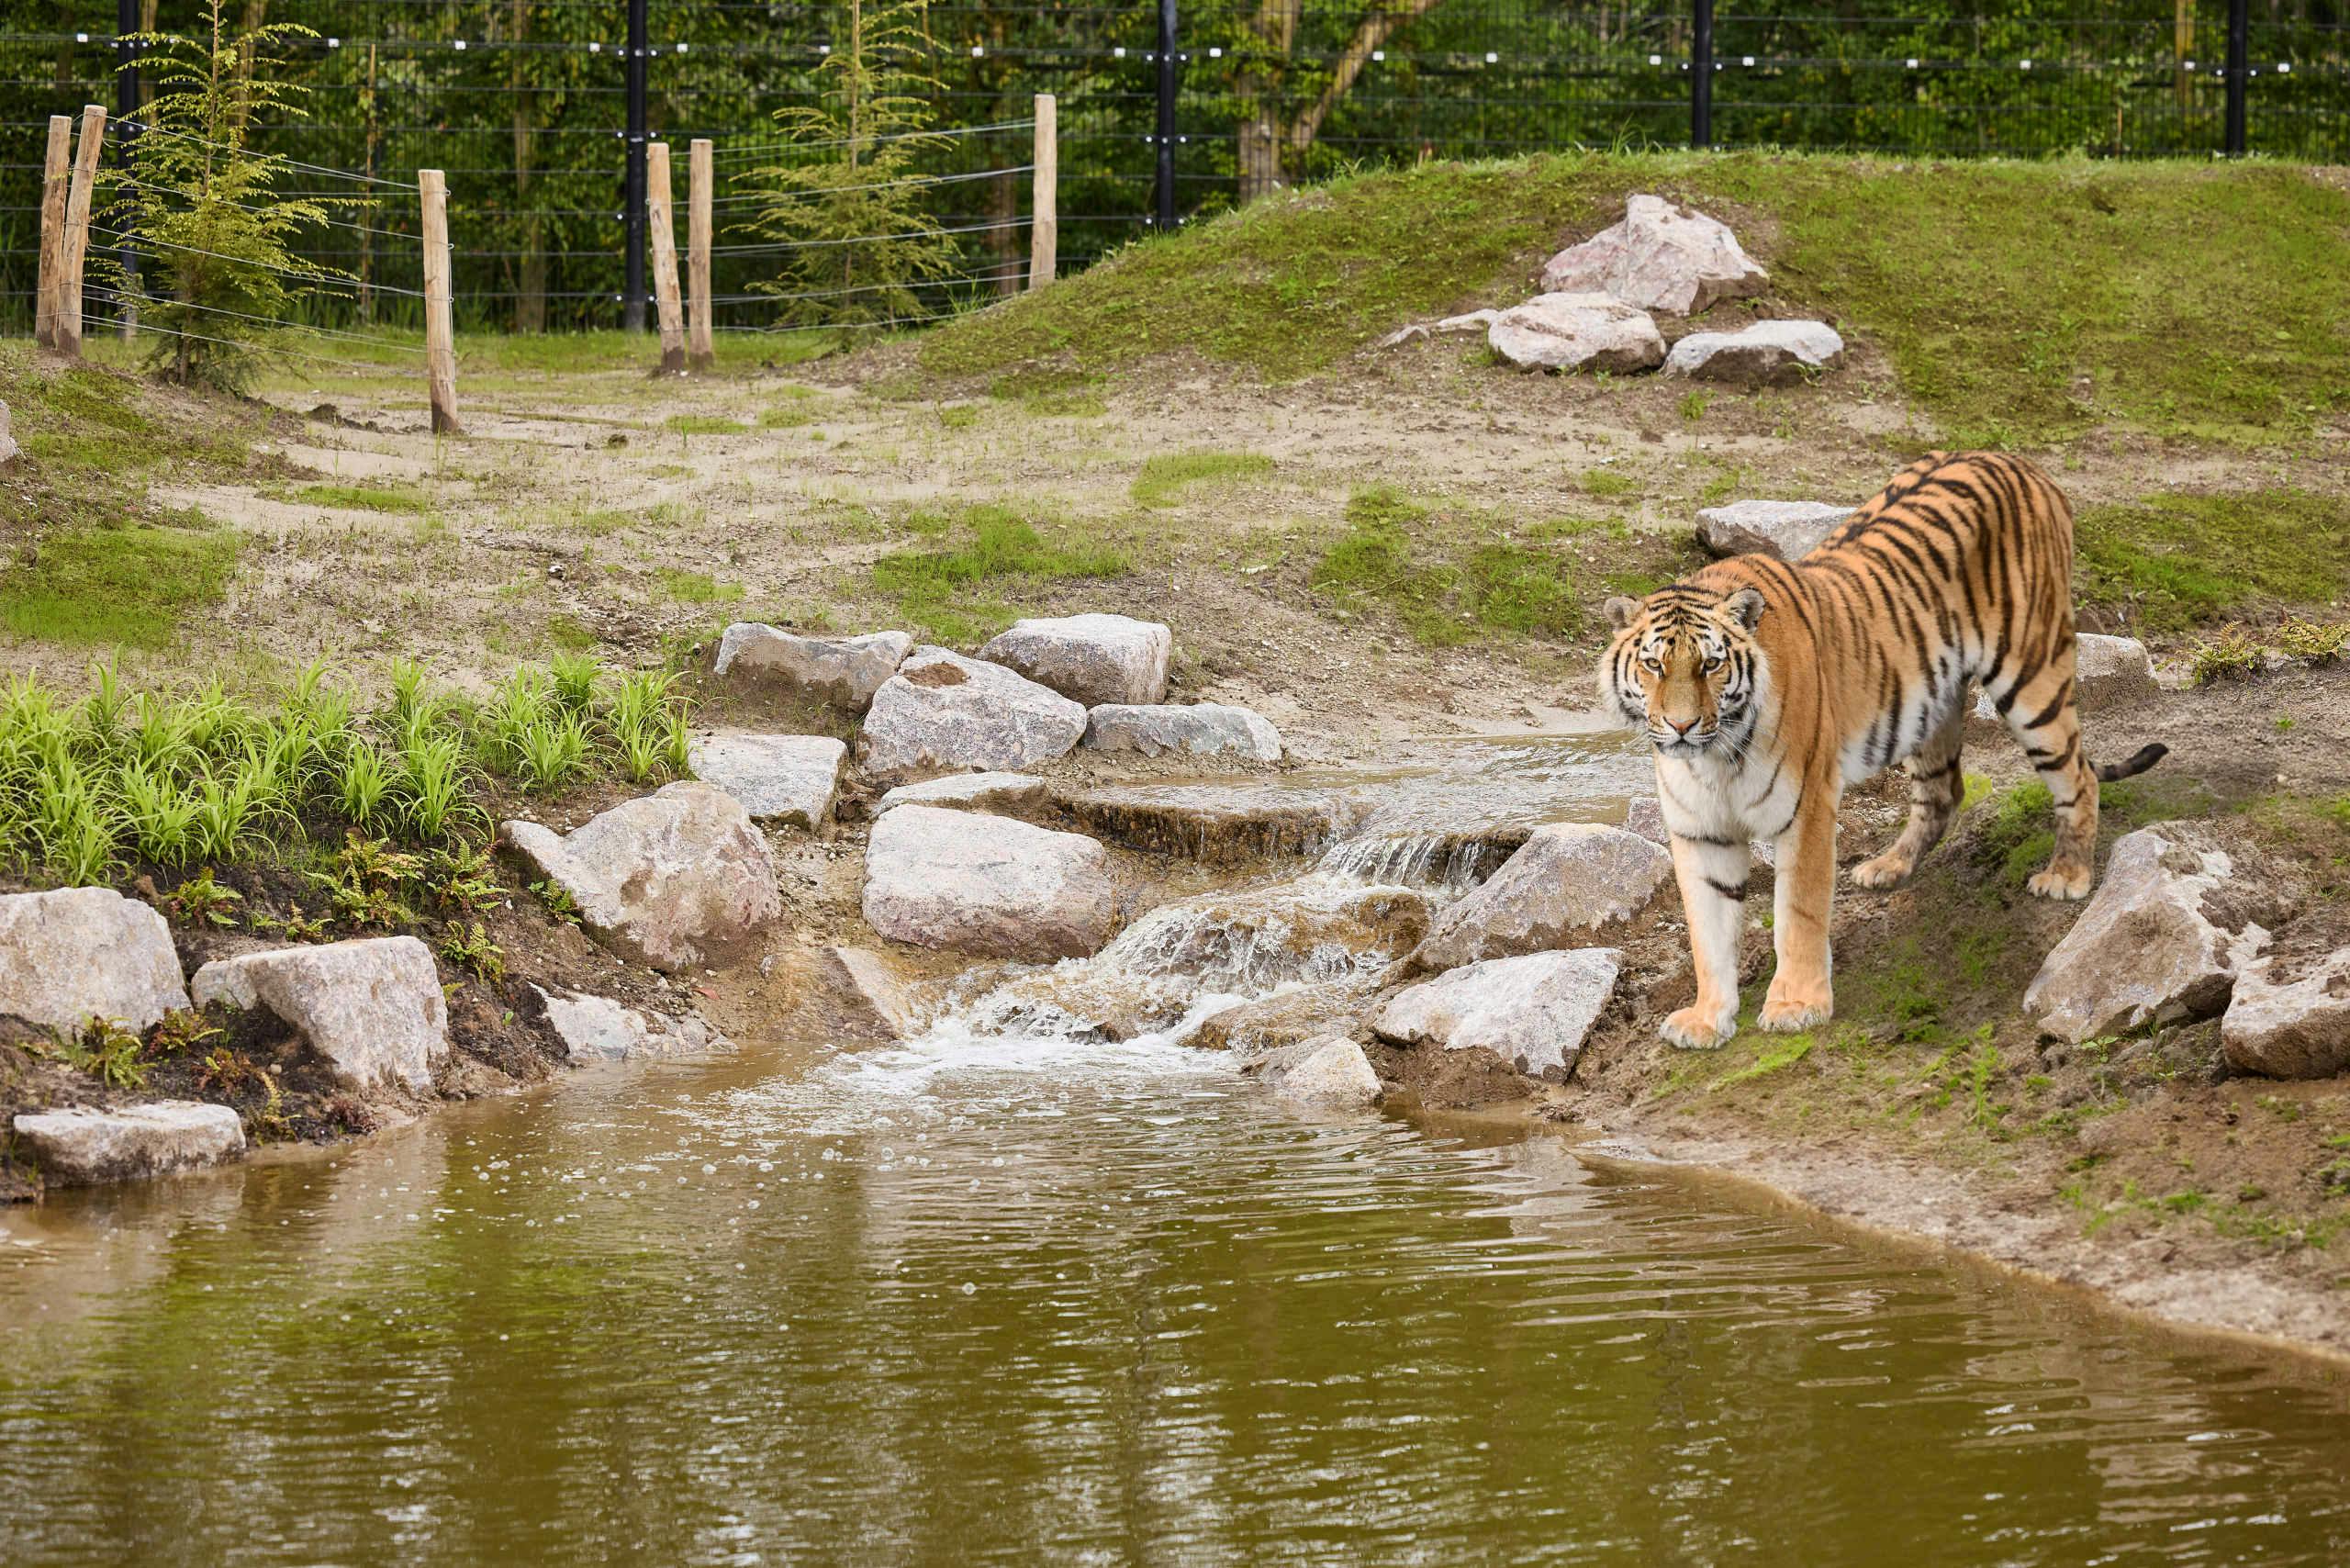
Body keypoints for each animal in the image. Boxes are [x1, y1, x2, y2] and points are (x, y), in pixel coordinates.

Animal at [1599, 451, 2166, 1052]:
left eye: (1710, 664)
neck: (1714, 759)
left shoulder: (1806, 808)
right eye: (1654, 665)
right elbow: (1706, 932)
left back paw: (2066, 875)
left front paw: (1797, 1006)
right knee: (1944, 791)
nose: (1682, 725)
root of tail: (2021, 461)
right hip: (1928, 705)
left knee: (2079, 776)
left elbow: (1798, 912)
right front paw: (1707, 1018)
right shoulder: (1699, 831)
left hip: (2033, 678)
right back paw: (1889, 867)